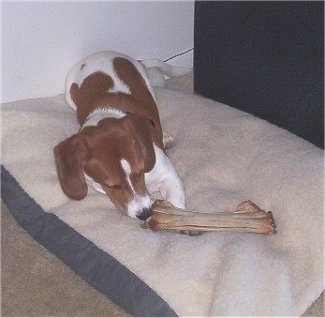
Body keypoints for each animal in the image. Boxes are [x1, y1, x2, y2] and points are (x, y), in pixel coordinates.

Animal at [53, 51, 187, 220]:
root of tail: (101, 54)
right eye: (113, 185)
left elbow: (176, 204)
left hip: (147, 84)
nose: (145, 214)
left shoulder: (169, 176)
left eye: (139, 172)